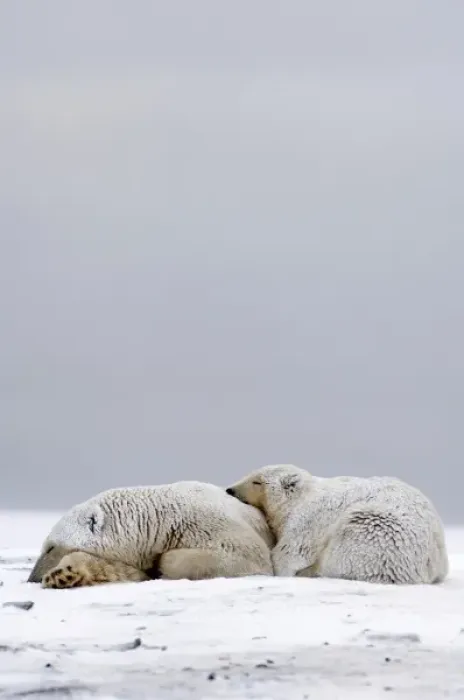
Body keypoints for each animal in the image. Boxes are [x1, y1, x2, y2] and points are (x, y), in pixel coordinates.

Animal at [27, 480, 275, 588]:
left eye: (50, 547)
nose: (32, 578)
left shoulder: (207, 522)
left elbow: (246, 554)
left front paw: (163, 563)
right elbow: (118, 569)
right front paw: (62, 575)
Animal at [226, 464, 449, 585]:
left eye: (257, 482)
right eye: (251, 475)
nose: (230, 490)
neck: (301, 497)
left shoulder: (309, 519)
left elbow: (292, 551)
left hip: (379, 530)